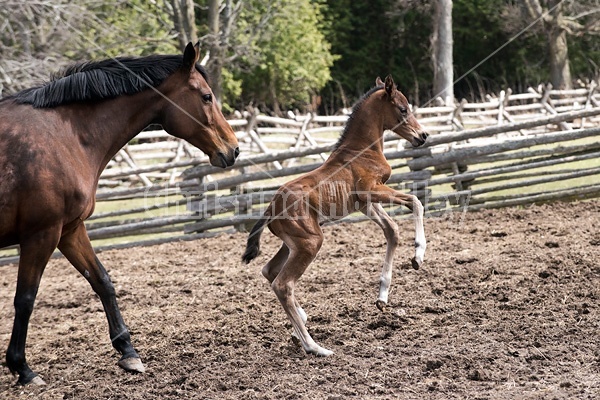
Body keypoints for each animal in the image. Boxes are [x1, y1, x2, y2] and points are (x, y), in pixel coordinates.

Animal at [241, 75, 428, 356]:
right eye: (403, 109)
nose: (423, 136)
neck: (362, 150)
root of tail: (271, 207)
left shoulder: (364, 203)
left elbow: (392, 230)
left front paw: (382, 297)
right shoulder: (373, 190)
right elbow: (415, 202)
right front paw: (418, 255)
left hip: (293, 243)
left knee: (269, 270)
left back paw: (300, 325)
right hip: (310, 242)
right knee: (283, 284)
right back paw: (314, 346)